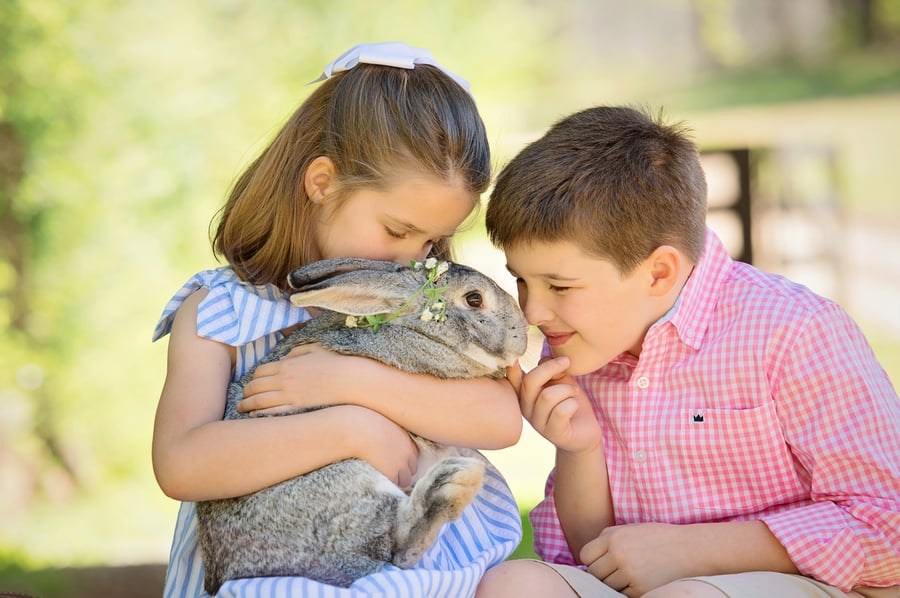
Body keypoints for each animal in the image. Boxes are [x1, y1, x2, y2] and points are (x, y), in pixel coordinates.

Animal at [195, 256, 528, 596]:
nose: (522, 335)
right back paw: (452, 481)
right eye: (474, 299)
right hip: (344, 482)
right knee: (398, 546)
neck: (416, 328)